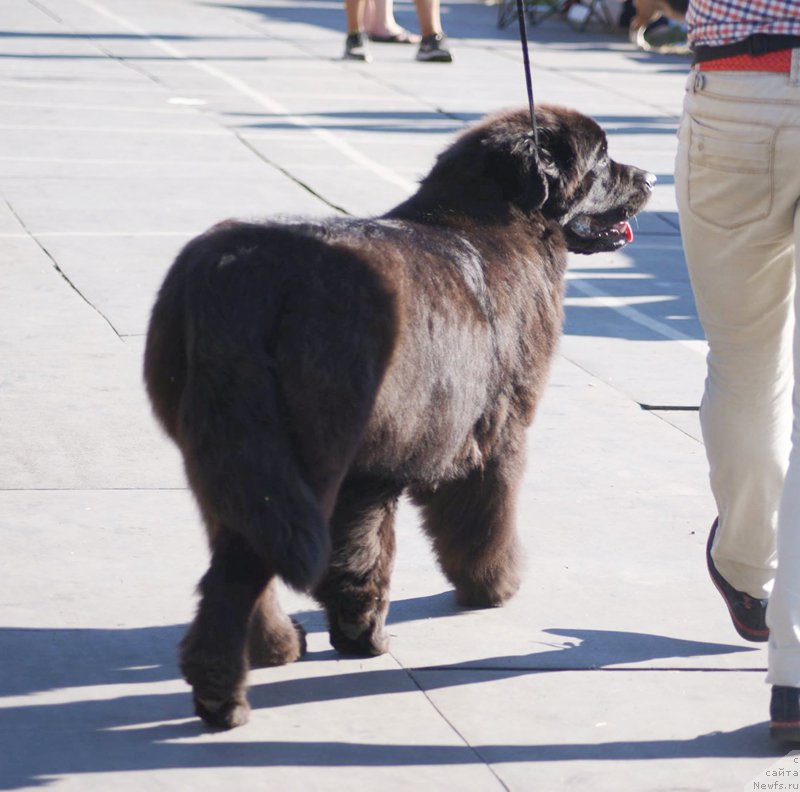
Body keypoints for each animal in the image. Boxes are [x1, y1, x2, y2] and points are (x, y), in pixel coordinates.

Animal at [145, 105, 656, 732]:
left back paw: (274, 648)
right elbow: (477, 519)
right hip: (293, 455)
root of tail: (238, 279)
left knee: (241, 544)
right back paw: (223, 696)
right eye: (603, 159)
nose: (651, 177)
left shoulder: (383, 461)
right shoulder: (495, 432)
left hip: (226, 458)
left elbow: (364, 549)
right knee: (238, 571)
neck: (500, 215)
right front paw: (490, 586)